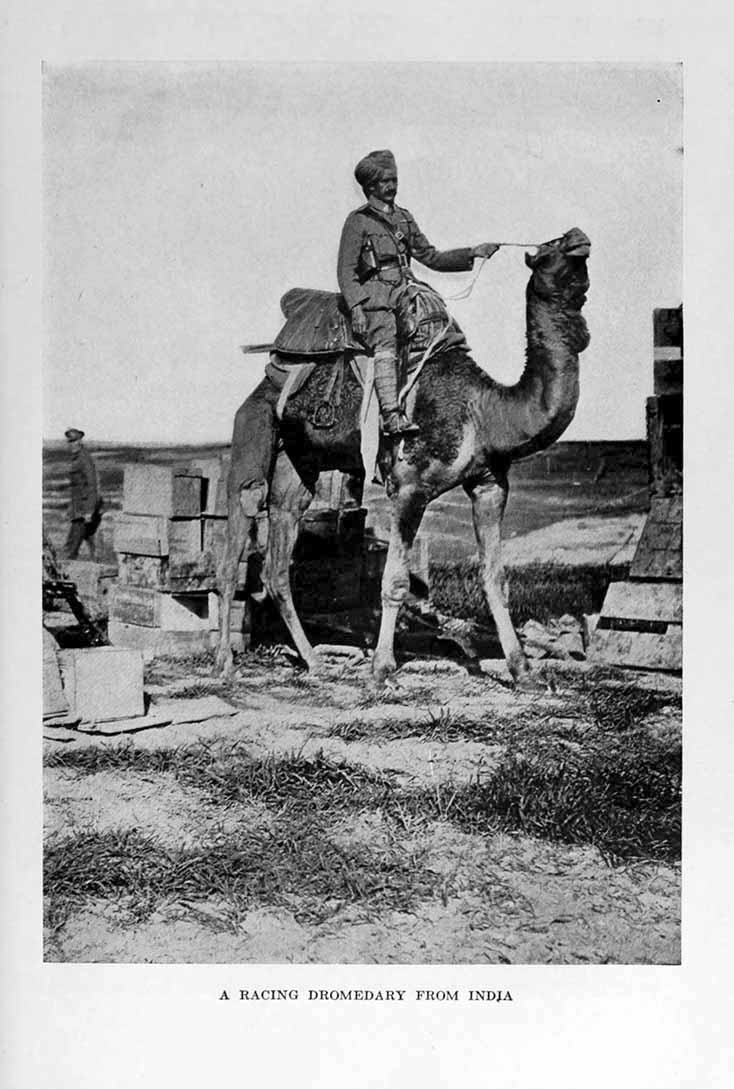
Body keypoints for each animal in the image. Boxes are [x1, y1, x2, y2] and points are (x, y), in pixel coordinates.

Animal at [215, 229, 588, 683]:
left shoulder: (489, 485)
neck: (485, 410)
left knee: (278, 556)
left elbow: (495, 580)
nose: (579, 237)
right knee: (242, 516)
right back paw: (223, 662)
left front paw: (522, 670)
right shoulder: (409, 487)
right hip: (256, 417)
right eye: (553, 248)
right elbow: (394, 582)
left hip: (299, 460)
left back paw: (314, 661)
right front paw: (381, 668)